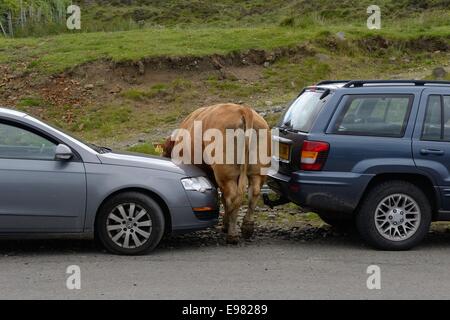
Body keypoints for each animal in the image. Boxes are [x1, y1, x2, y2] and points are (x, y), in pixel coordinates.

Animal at [164, 104, 270, 244]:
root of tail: (243, 109)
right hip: (257, 170)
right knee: (254, 192)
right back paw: (247, 228)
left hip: (224, 172)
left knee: (231, 197)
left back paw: (232, 234)